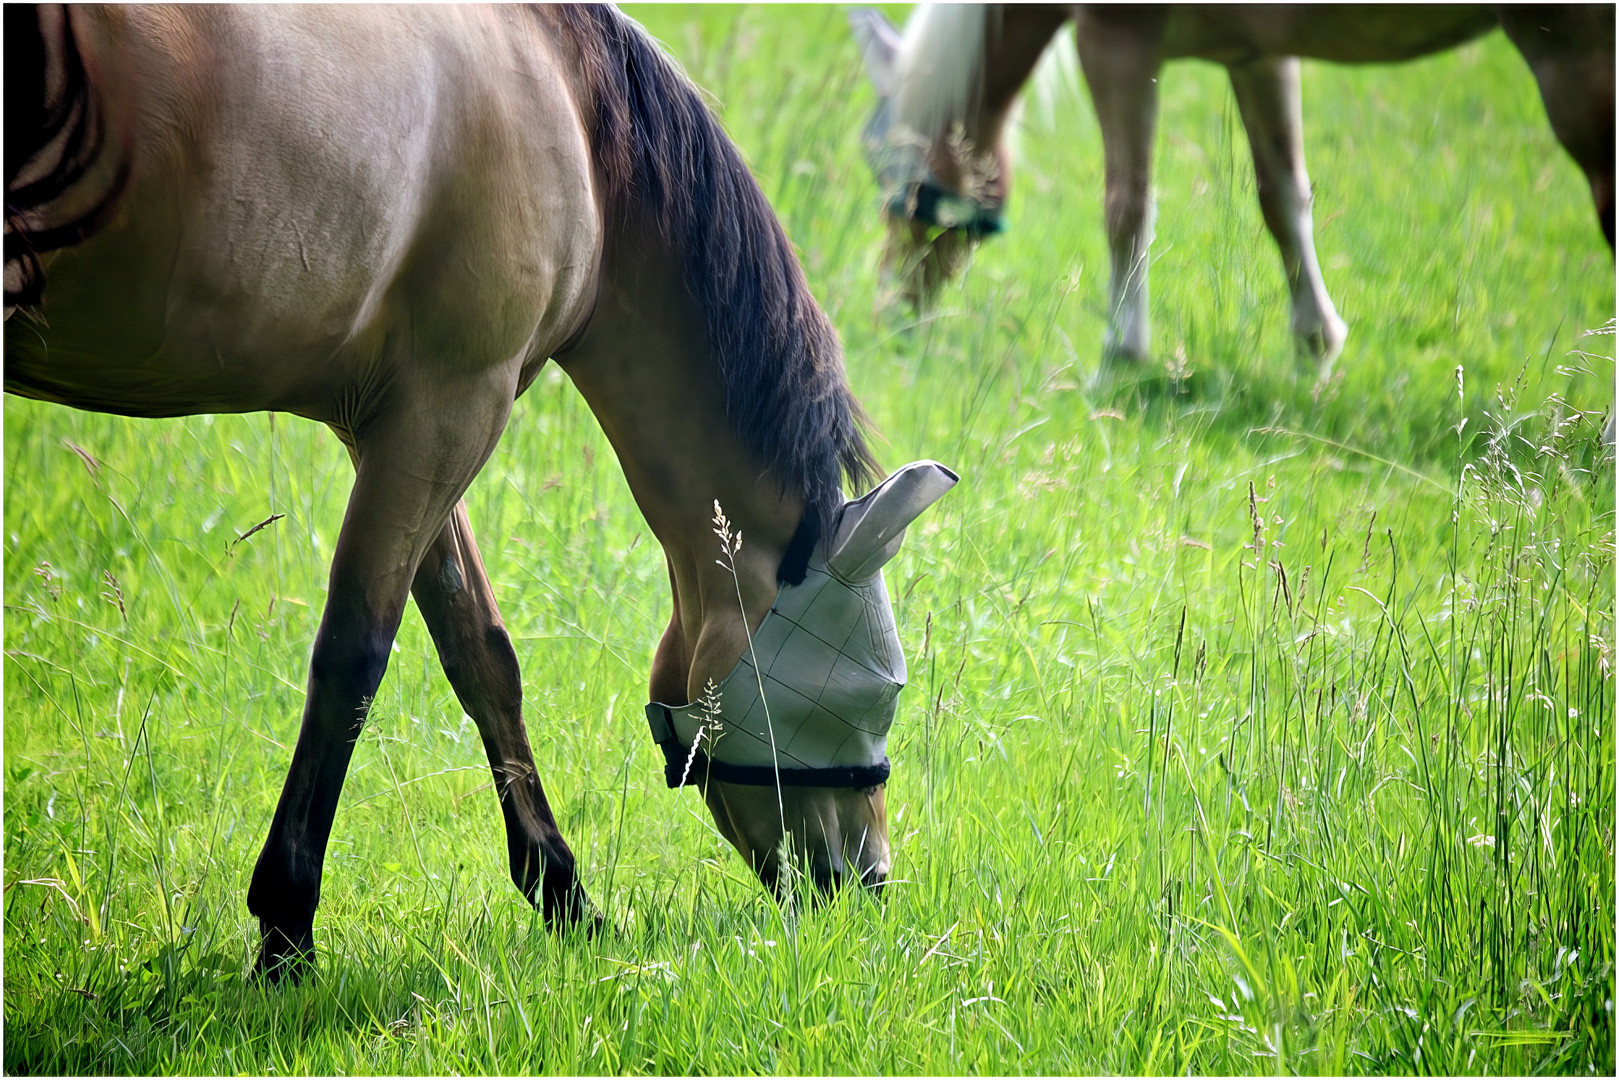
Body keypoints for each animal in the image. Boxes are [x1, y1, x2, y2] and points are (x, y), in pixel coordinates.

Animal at [6, 2, 951, 977]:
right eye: (872, 696)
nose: (864, 881)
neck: (572, 114)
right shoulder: (453, 406)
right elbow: (355, 654)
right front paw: (286, 929)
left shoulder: (407, 416)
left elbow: (480, 651)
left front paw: (562, 892)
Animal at [854, 3, 1612, 367]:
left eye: (902, 189)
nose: (889, 311)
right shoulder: (1260, 56)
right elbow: (1283, 198)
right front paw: (1315, 343)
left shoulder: (1115, 39)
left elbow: (1126, 203)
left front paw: (1121, 353)